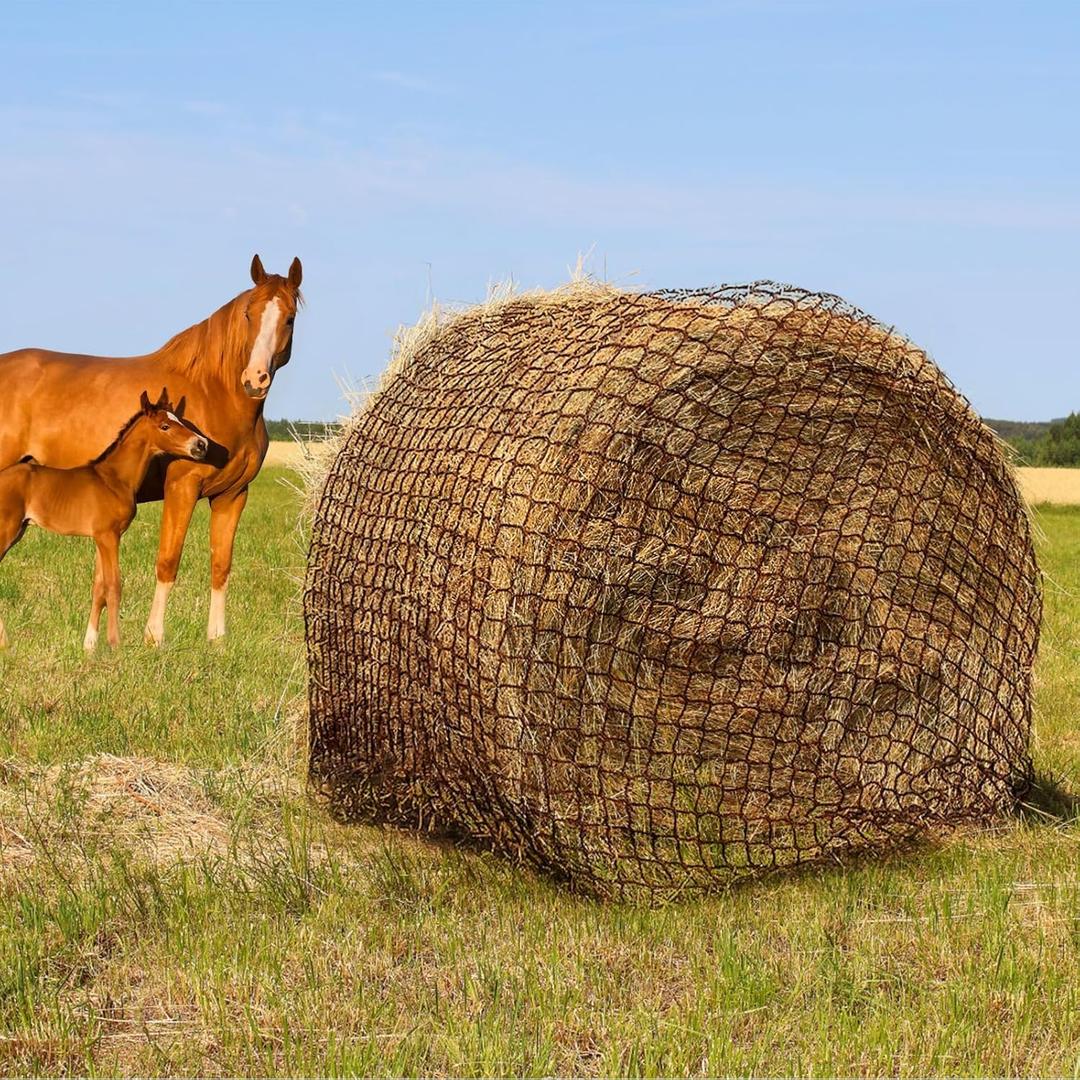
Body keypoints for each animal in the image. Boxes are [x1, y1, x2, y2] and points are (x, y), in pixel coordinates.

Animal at [0, 390, 210, 651]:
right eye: (165, 426)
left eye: (180, 420)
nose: (201, 445)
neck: (114, 479)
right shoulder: (109, 537)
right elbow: (114, 586)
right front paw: (115, 643)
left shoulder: (102, 538)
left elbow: (99, 587)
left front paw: (90, 645)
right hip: (6, 530)